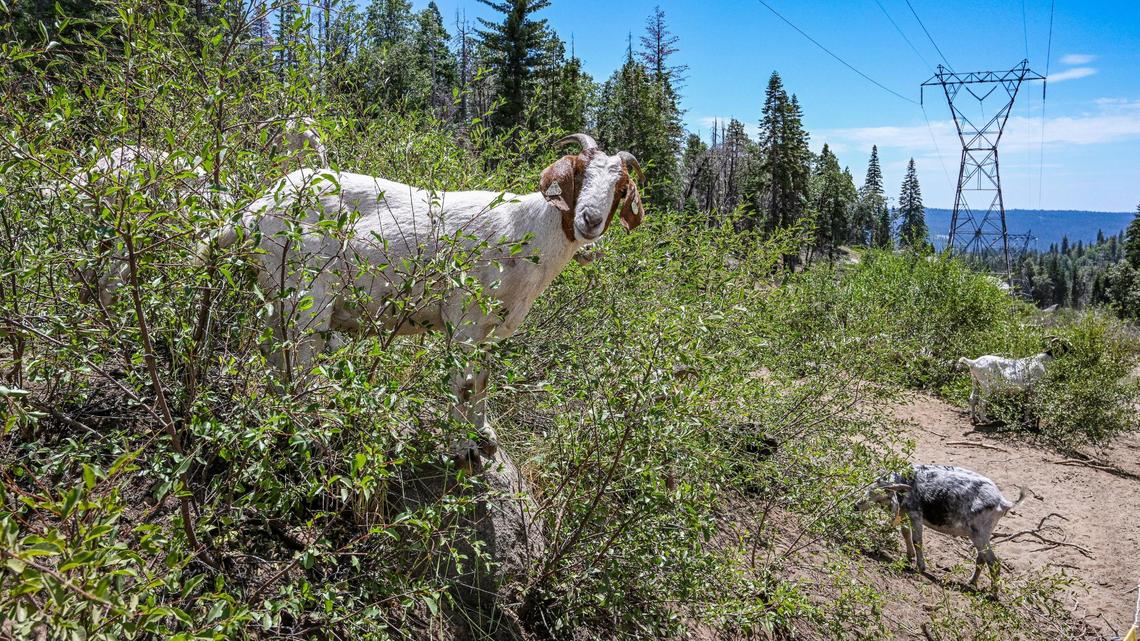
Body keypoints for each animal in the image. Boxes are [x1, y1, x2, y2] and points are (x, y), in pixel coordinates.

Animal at [208, 133, 644, 462]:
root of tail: (253, 210)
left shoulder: (492, 331)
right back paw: (304, 423)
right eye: (578, 174)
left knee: (272, 349)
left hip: (275, 291)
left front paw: (485, 434)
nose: (590, 220)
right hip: (306, 291)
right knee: (298, 353)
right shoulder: (464, 318)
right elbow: (462, 382)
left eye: (621, 188)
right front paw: (461, 446)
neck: (526, 232)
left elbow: (483, 380)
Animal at [857, 464, 1026, 592]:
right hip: (980, 536)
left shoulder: (916, 515)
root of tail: (1002, 502)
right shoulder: (904, 513)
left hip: (979, 535)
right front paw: (908, 557)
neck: (906, 482)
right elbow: (905, 533)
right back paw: (971, 582)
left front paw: (920, 567)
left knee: (994, 562)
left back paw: (993, 594)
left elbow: (917, 540)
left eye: (878, 492)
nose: (856, 505)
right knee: (982, 558)